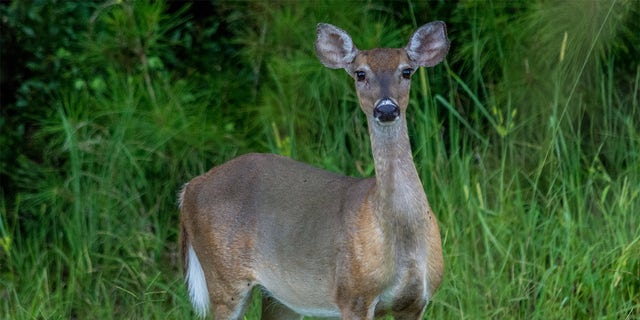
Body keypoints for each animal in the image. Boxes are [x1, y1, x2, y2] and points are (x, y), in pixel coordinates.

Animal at [180, 21, 450, 318]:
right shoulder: (352, 295)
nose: (387, 109)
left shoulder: (417, 301)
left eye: (406, 71)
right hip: (224, 278)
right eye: (360, 73)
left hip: (278, 296)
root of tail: (189, 188)